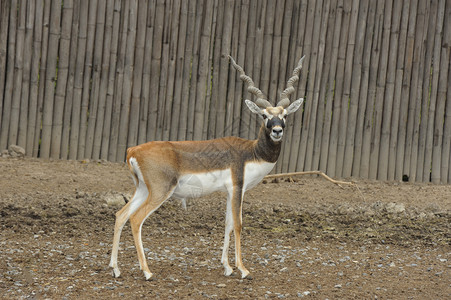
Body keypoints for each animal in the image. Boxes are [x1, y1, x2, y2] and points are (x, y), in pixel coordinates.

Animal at [110, 54, 308, 278]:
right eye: (264, 115)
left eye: (285, 115)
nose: (277, 130)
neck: (251, 152)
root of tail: (133, 150)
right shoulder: (238, 187)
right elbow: (238, 224)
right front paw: (243, 269)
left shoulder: (230, 191)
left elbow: (228, 224)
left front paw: (227, 267)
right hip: (160, 191)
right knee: (136, 219)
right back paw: (147, 272)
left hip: (143, 189)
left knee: (121, 215)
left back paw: (115, 269)